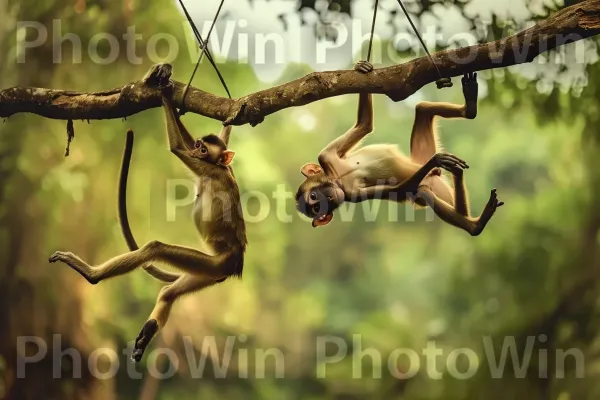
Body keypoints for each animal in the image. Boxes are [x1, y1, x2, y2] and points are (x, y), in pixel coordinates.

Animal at [49, 87, 246, 362]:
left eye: (203, 151)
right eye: (198, 145)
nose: (196, 151)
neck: (219, 168)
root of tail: (236, 261)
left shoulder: (209, 169)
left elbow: (176, 148)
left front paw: (162, 89)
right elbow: (195, 140)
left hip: (213, 263)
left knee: (155, 248)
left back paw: (91, 274)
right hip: (209, 272)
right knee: (168, 292)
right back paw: (149, 330)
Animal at [296, 59, 502, 234]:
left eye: (314, 198)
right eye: (317, 208)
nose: (327, 199)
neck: (338, 178)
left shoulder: (326, 157)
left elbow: (365, 124)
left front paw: (361, 68)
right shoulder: (350, 194)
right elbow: (400, 190)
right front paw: (435, 160)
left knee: (422, 108)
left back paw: (470, 107)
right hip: (432, 186)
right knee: (424, 193)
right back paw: (474, 224)